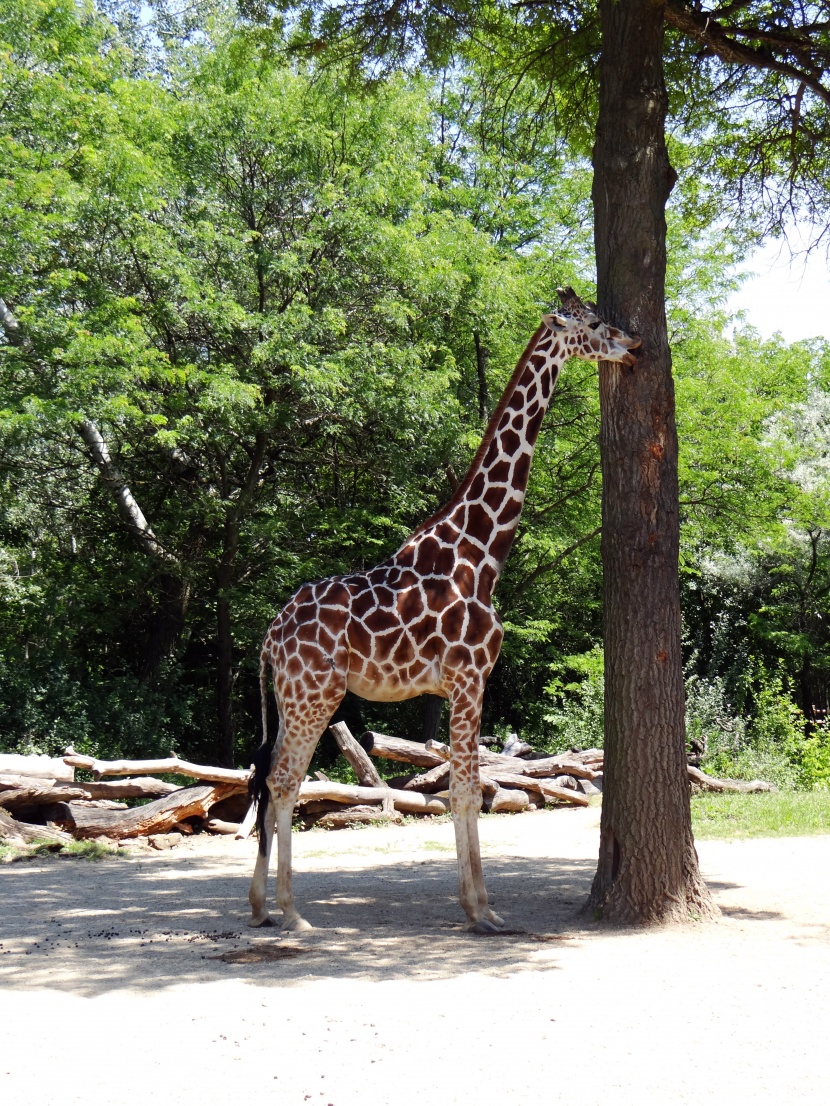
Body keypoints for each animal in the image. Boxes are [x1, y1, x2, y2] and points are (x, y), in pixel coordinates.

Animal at [250, 287, 641, 933]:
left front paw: (476, 905)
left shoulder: (464, 683)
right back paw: (291, 914)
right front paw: (483, 911)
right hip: (315, 695)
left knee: (264, 778)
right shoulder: (469, 678)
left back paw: (260, 906)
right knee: (284, 782)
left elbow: (468, 787)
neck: (480, 554)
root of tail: (269, 636)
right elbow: (464, 791)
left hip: (289, 697)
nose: (633, 344)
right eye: (590, 322)